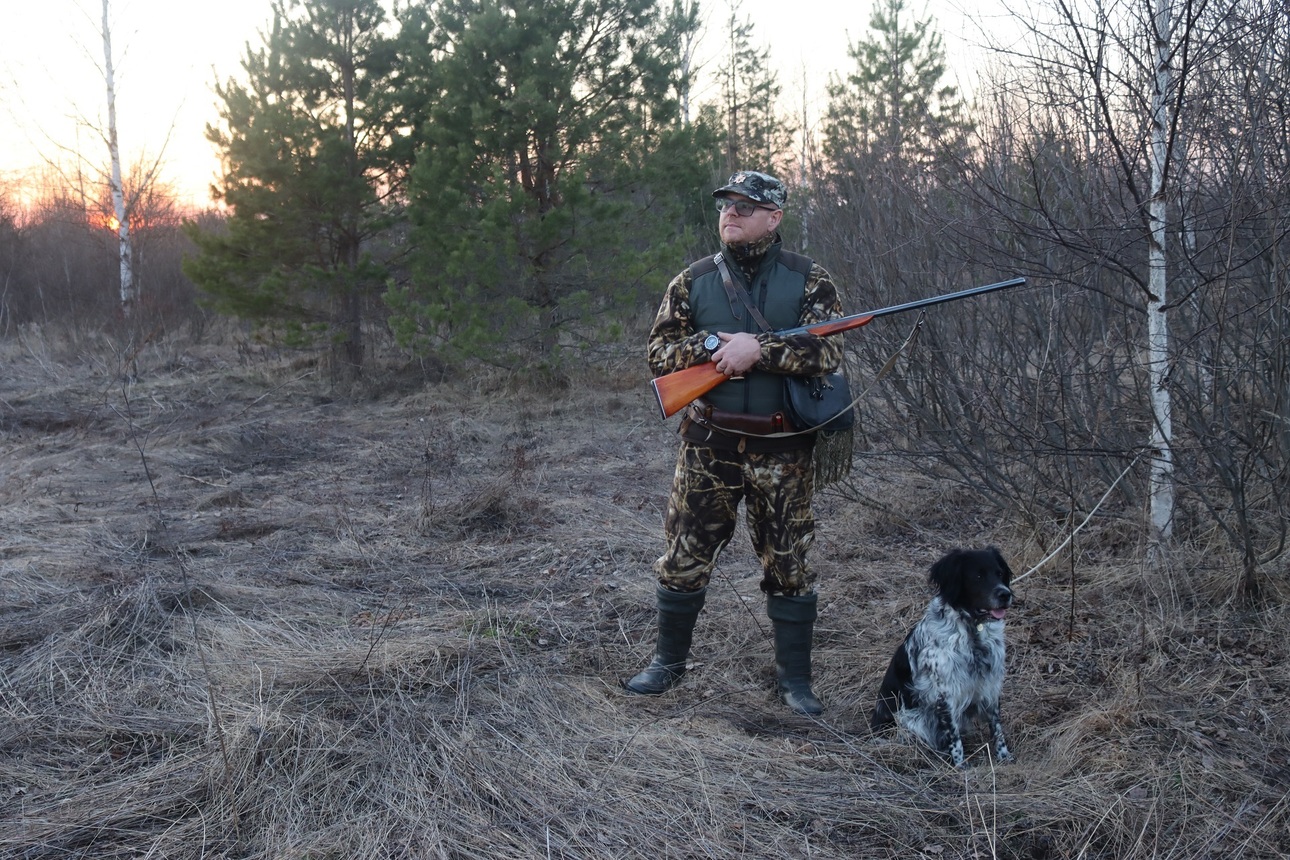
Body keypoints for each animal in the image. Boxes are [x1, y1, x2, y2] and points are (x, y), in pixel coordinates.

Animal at [872, 544, 1011, 768]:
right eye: (978, 576)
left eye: (999, 574)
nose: (1005, 594)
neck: (972, 630)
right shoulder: (945, 693)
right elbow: (954, 736)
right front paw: (960, 766)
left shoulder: (990, 685)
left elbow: (997, 728)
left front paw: (1004, 757)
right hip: (912, 719)